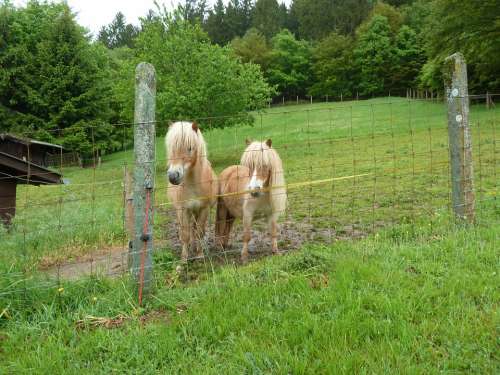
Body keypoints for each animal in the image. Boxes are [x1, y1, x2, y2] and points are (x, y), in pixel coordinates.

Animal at [166, 121, 217, 262]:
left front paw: (199, 255)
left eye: (189, 148)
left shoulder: (204, 209)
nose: (173, 176)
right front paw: (184, 258)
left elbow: (199, 232)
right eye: (171, 148)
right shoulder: (183, 210)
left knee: (194, 229)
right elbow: (185, 234)